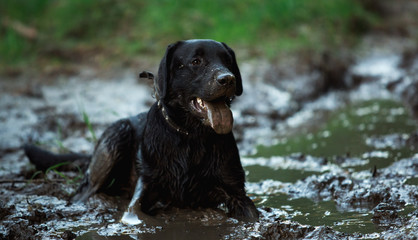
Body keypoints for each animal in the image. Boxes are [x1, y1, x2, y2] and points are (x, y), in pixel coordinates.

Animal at [24, 39, 260, 219]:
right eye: (196, 61)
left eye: (228, 61)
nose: (227, 79)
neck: (190, 136)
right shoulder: (145, 185)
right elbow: (134, 213)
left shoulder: (235, 190)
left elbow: (251, 214)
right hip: (117, 136)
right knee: (84, 192)